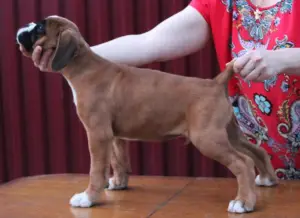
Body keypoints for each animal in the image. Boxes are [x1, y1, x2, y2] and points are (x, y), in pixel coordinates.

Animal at [16, 16, 278, 214]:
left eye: (39, 29)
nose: (21, 28)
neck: (84, 65)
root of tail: (215, 83)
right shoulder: (114, 136)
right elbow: (118, 161)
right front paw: (118, 184)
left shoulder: (98, 134)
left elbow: (96, 170)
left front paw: (88, 197)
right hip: (228, 134)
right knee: (256, 151)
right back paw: (266, 180)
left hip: (208, 138)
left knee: (242, 163)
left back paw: (243, 203)